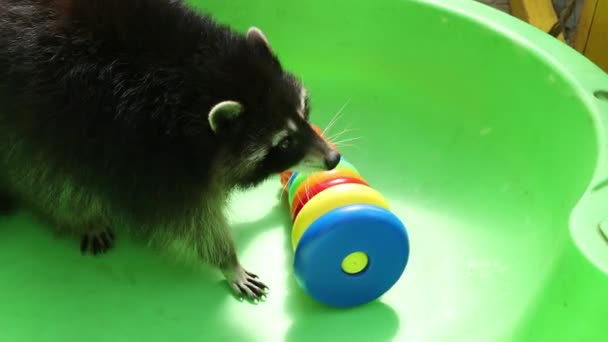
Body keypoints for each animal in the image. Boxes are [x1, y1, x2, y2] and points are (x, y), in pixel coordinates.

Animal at [0, 0, 342, 300]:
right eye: (283, 142)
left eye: (303, 110)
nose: (333, 158)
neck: (200, 76)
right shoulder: (149, 152)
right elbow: (189, 219)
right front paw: (227, 261)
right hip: (36, 118)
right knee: (44, 174)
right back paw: (77, 216)